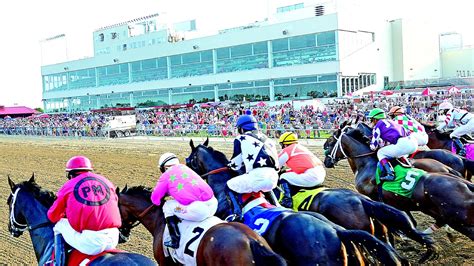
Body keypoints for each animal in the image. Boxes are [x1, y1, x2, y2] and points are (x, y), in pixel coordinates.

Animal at [322, 125, 474, 240]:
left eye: (330, 141)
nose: (326, 161)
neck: (367, 163)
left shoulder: (376, 198)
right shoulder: (396, 201)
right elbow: (409, 219)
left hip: (457, 219)